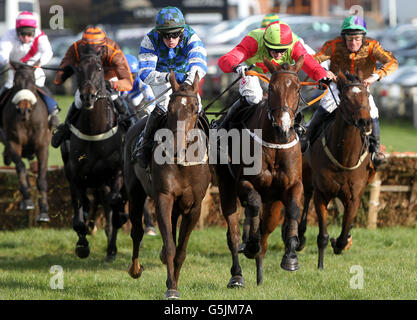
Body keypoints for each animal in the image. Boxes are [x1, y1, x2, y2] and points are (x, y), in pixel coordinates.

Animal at [0, 61, 51, 224]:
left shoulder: (42, 146)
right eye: (16, 83)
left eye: (33, 82)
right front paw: (27, 200)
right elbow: (20, 167)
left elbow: (42, 177)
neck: (27, 121)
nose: (23, 110)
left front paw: (44, 211)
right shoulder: (13, 142)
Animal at [60, 43, 127, 262]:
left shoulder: (117, 173)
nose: (87, 96)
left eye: (99, 68)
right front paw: (82, 243)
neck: (94, 131)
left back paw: (112, 248)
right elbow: (79, 211)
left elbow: (115, 203)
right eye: (78, 70)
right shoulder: (74, 174)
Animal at [122, 72, 208, 300]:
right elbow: (170, 245)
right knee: (137, 231)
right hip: (135, 192)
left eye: (194, 108)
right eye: (170, 108)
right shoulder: (163, 197)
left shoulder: (194, 207)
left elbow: (181, 249)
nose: (177, 146)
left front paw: (175, 283)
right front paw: (171, 288)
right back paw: (135, 268)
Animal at [213, 57, 304, 288]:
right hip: (225, 185)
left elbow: (293, 209)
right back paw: (237, 274)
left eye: (298, 88)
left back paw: (260, 273)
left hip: (273, 202)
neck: (275, 143)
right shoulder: (243, 183)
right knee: (233, 233)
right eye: (271, 88)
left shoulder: (292, 185)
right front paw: (250, 244)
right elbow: (253, 203)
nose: (283, 127)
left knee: (266, 233)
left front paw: (290, 256)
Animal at [298, 71, 376, 268]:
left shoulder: (354, 198)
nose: (365, 122)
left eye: (367, 95)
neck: (344, 157)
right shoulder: (322, 194)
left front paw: (341, 243)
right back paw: (300, 236)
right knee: (307, 195)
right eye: (346, 98)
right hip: (307, 176)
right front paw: (320, 265)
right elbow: (323, 236)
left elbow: (343, 232)